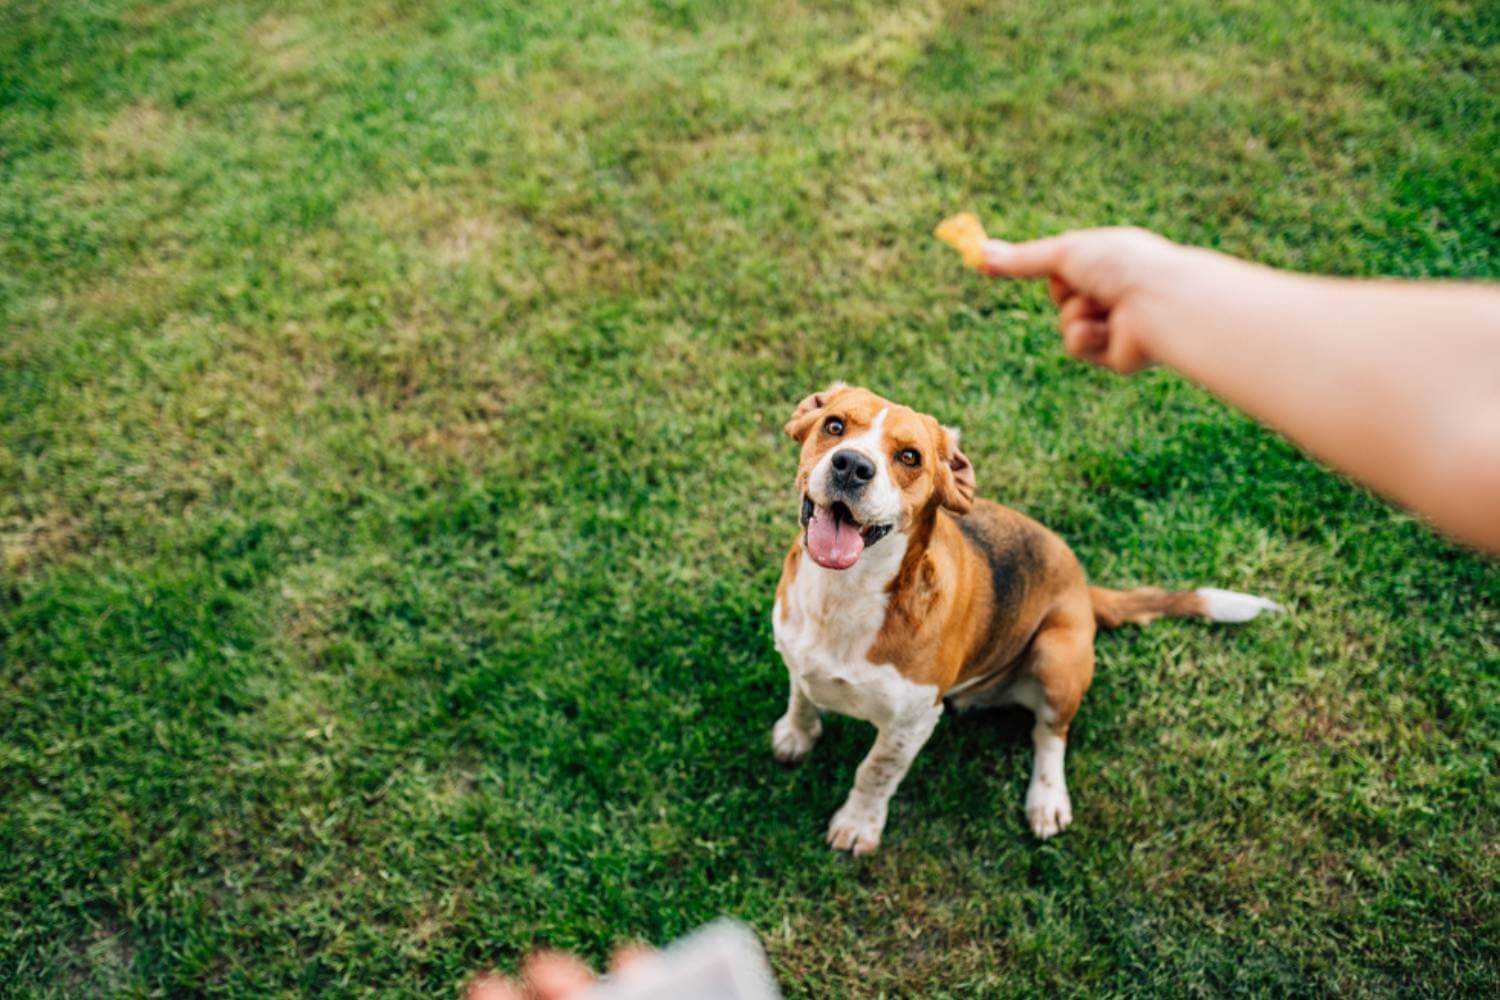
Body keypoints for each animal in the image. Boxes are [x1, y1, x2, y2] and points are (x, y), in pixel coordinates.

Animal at [774, 386, 1278, 857]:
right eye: (835, 426)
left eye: (910, 457)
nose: (851, 466)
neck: (844, 595)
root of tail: (1083, 587)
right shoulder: (797, 656)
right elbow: (801, 697)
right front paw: (796, 736)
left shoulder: (910, 724)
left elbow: (875, 772)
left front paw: (858, 824)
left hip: (1057, 657)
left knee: (1051, 733)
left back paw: (1047, 799)